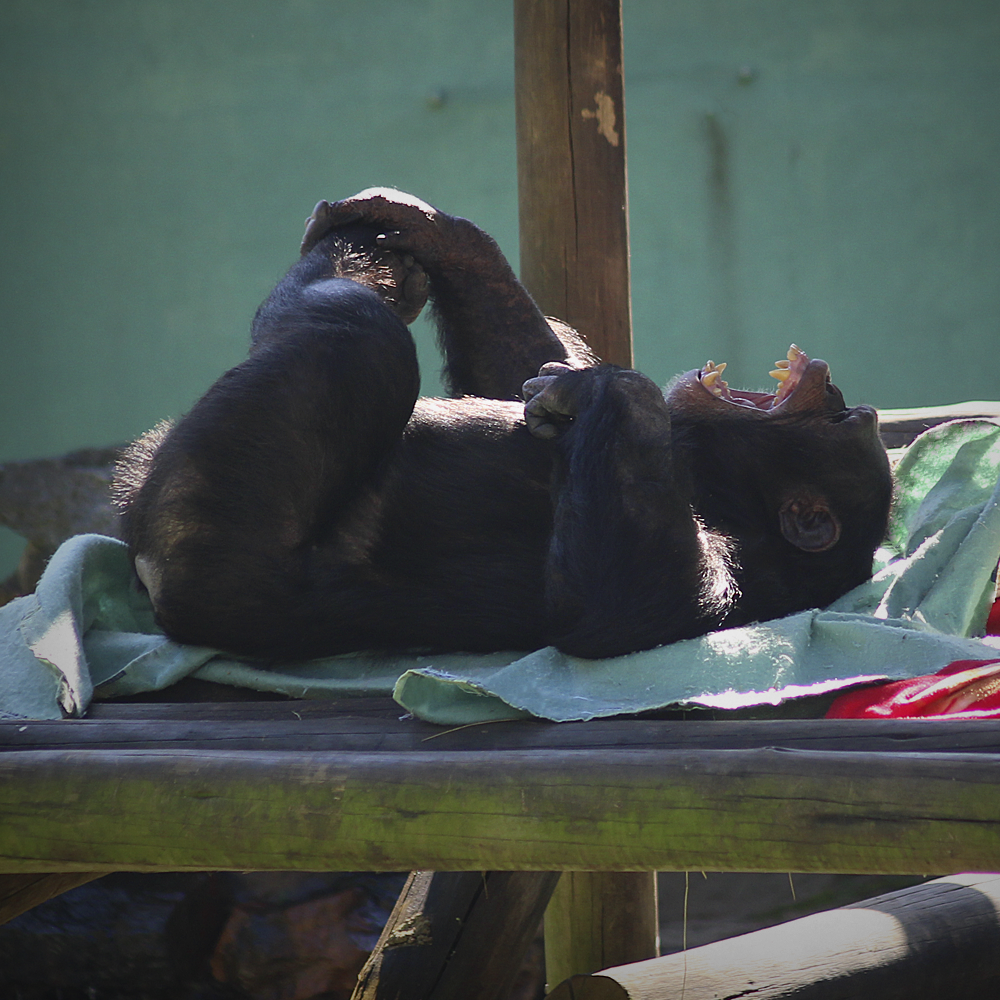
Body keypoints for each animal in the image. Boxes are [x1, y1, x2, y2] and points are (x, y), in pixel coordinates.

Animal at [113, 188, 896, 660]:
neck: (716, 475)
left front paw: (610, 387)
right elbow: (519, 370)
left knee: (357, 337)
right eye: (844, 417)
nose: (839, 389)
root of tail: (151, 579)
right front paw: (442, 236)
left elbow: (611, 607)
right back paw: (376, 251)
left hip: (213, 511)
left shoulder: (730, 580)